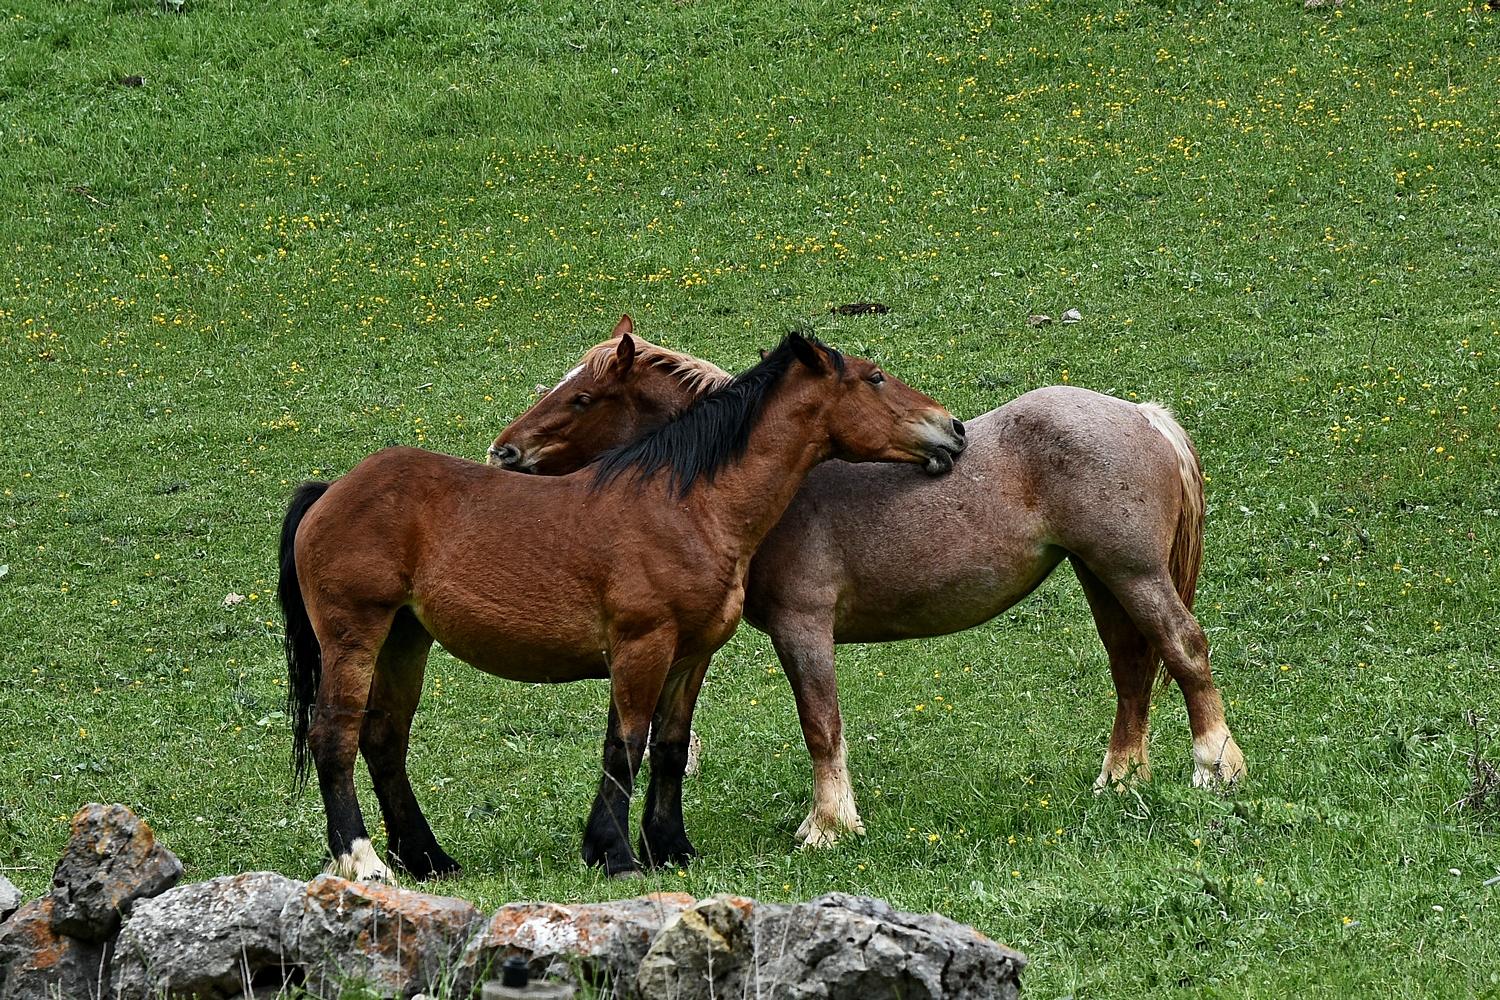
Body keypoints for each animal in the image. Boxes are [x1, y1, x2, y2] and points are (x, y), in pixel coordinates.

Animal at [280, 332, 960, 881]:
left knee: (384, 739)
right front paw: (615, 854)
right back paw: (363, 860)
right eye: (875, 377)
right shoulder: (641, 646)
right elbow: (627, 743)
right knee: (334, 736)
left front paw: (671, 848)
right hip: (354, 637)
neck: (687, 504)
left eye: (583, 397)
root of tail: (331, 491)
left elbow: (670, 747)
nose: (951, 428)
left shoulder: (691, 654)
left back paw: (427, 859)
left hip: (404, 638)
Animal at [495, 316, 1254, 851]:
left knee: (1185, 649)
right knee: (1132, 666)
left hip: (1132, 572)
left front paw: (828, 826)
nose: (504, 452)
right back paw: (1120, 779)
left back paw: (1215, 766)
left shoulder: (804, 628)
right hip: (1102, 576)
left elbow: (820, 724)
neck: (772, 486)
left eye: (581, 396)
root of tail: (1140, 414)